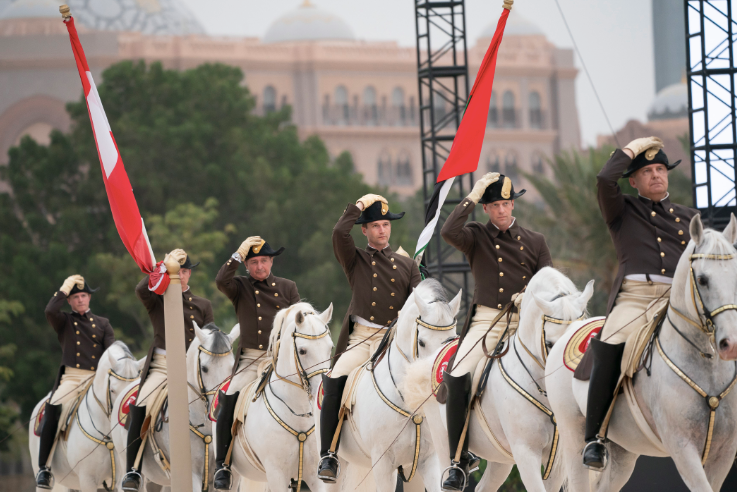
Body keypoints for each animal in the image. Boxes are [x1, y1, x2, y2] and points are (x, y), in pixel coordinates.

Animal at [230, 302, 334, 490]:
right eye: (302, 350)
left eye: (330, 348)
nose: (321, 390)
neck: (299, 413)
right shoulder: (276, 474)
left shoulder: (314, 476)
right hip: (235, 472)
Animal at [548, 216, 737, 492]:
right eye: (702, 280)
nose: (730, 343)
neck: (706, 365)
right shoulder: (683, 449)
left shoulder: (723, 453)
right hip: (573, 439)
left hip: (622, 452)